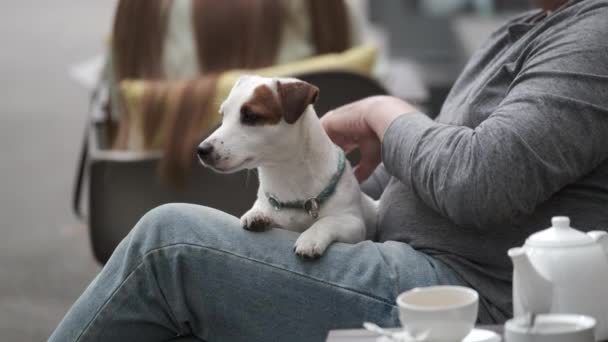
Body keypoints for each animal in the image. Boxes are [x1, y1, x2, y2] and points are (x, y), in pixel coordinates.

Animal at [197, 75, 378, 256]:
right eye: (223, 115)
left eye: (251, 116)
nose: (202, 150)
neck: (285, 175)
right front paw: (257, 213)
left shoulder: (353, 223)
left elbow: (328, 221)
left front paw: (311, 237)